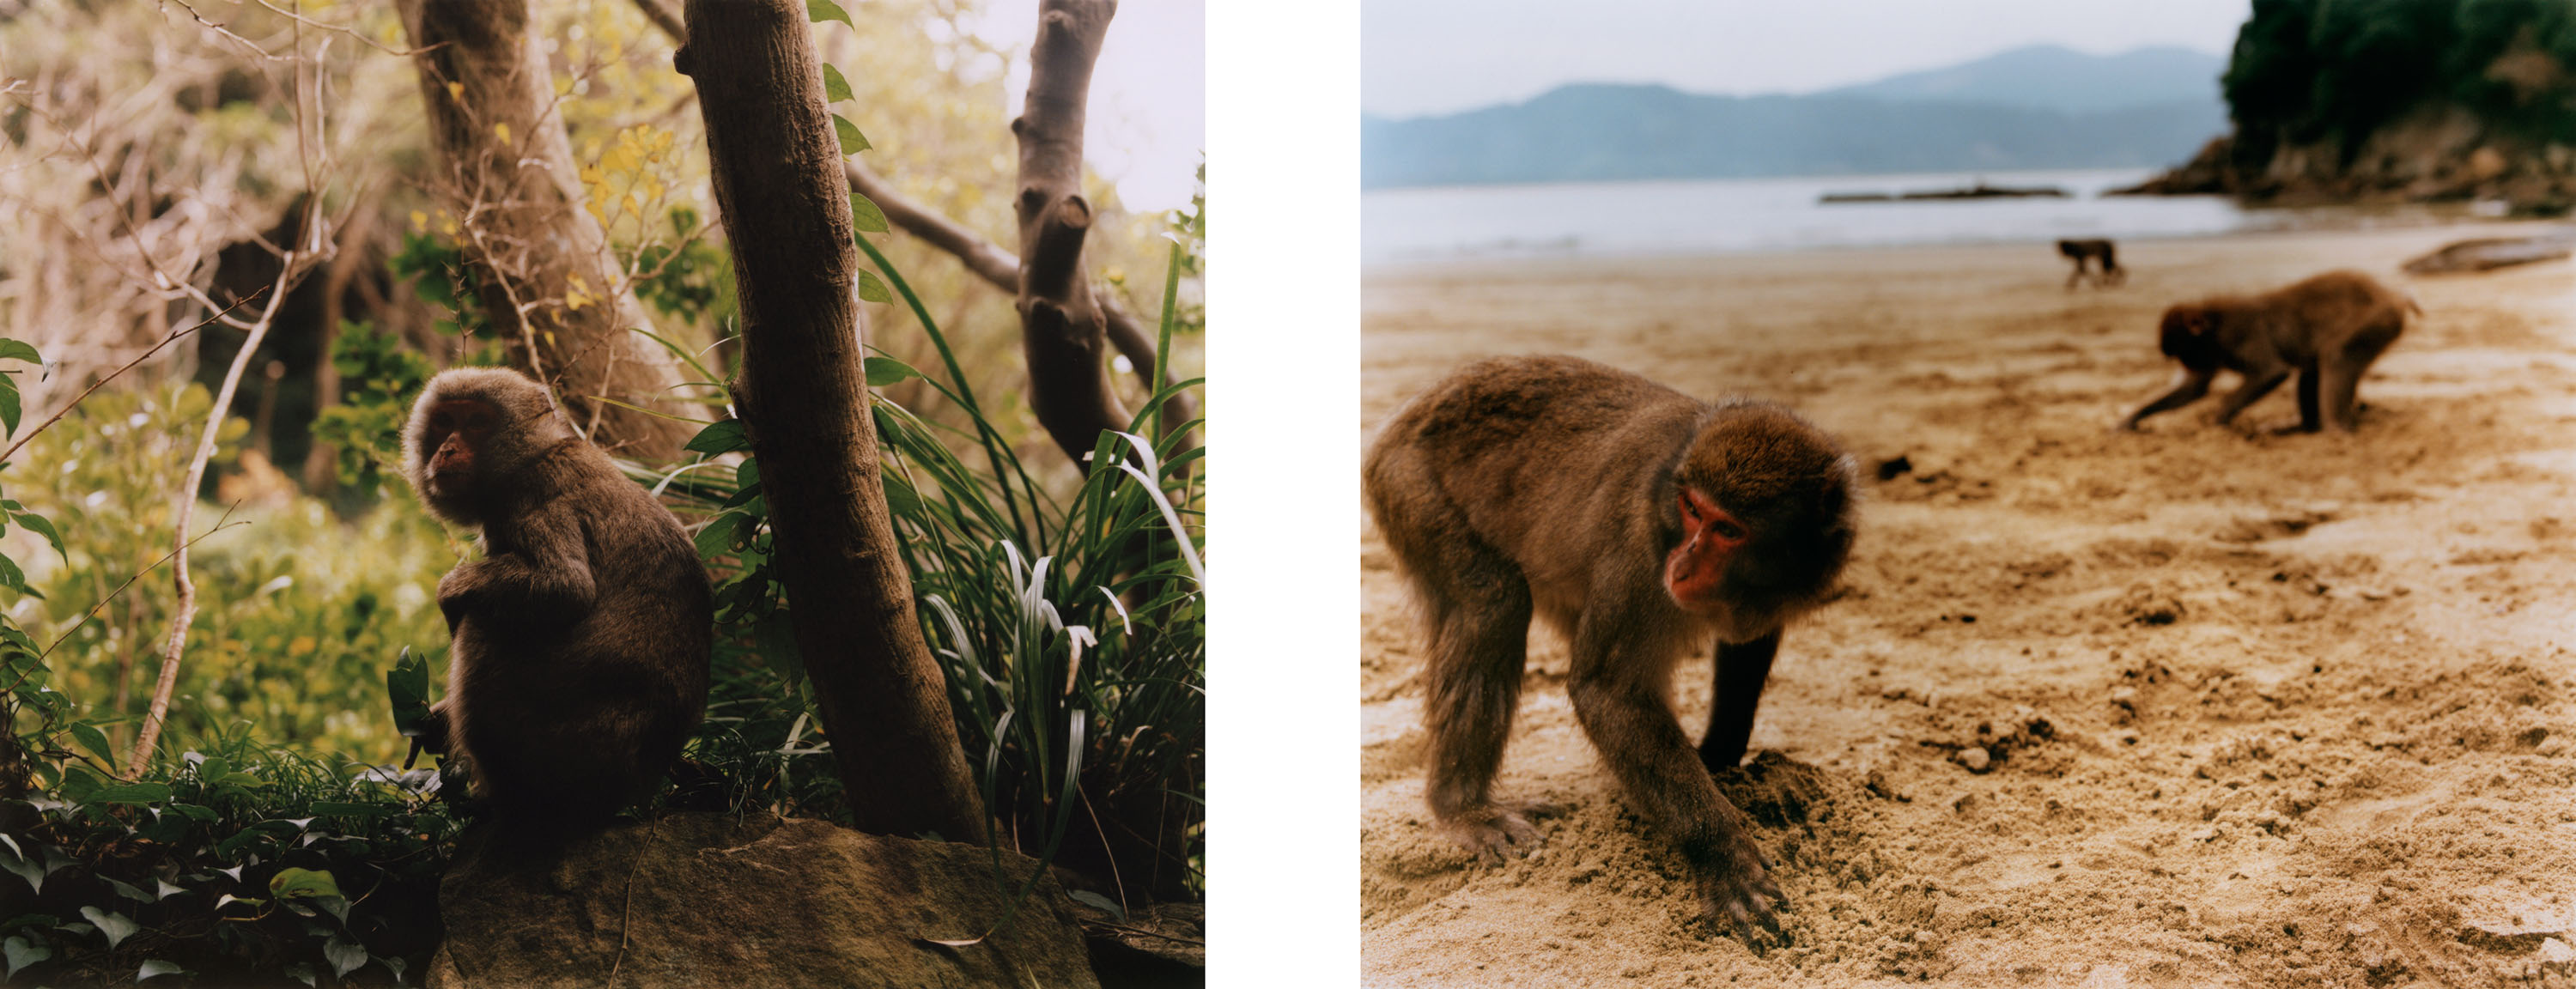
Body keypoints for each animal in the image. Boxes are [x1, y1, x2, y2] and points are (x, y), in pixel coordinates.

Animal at [410, 366, 716, 840]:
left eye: (476, 422)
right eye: (444, 422)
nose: (447, 449)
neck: (533, 455)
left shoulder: (532, 492)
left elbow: (564, 587)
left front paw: (451, 590)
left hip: (565, 750)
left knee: (484, 622)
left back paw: (507, 808)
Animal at [2123, 268, 2401, 435]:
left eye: (2185, 354)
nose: (2187, 365)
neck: (2215, 326)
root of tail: (2391, 295)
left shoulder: (2240, 332)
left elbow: (2271, 373)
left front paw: (2217, 421)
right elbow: (2194, 389)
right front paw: (2132, 418)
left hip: (2378, 320)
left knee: (2336, 356)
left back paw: (2337, 429)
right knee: (2311, 370)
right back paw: (2303, 428)